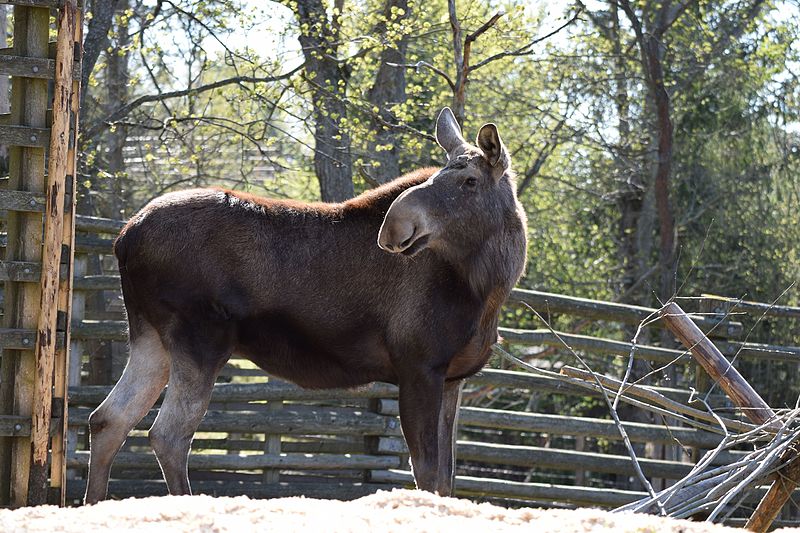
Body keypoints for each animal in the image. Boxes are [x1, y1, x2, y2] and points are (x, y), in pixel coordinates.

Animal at [84, 108, 528, 502]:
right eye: (439, 174)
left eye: (469, 180)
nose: (394, 226)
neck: (488, 288)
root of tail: (124, 239)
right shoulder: (419, 367)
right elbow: (428, 475)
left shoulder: (453, 378)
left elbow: (447, 479)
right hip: (200, 338)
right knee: (168, 434)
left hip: (150, 337)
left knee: (108, 419)